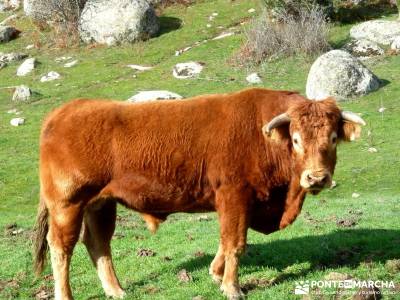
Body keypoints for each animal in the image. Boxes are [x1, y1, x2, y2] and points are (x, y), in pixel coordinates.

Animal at [34, 88, 366, 300]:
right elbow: (235, 243)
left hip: (100, 204)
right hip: (67, 203)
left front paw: (216, 273)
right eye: (296, 140)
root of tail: (65, 111)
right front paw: (232, 287)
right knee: (61, 247)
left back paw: (116, 291)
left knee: (98, 244)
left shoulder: (239, 202)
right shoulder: (234, 195)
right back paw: (66, 295)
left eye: (332, 138)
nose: (317, 177)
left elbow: (226, 240)